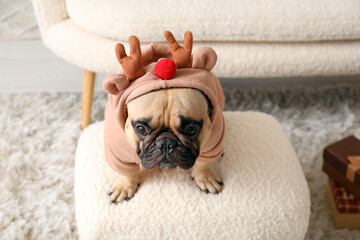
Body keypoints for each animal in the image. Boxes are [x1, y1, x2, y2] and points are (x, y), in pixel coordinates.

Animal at [102, 30, 225, 202]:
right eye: (141, 129)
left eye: (191, 129)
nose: (166, 143)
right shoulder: (118, 152)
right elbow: (126, 170)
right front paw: (124, 186)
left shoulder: (213, 139)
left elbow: (203, 161)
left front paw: (205, 177)